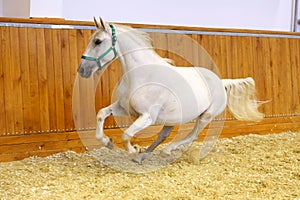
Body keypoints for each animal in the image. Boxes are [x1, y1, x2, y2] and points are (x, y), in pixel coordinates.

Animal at [77, 18, 262, 163]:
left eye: (98, 41)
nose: (82, 70)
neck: (142, 75)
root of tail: (221, 82)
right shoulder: (124, 108)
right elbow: (101, 114)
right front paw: (108, 142)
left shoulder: (147, 117)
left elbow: (126, 135)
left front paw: (133, 150)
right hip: (172, 120)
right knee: (163, 136)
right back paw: (143, 157)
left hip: (206, 116)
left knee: (192, 136)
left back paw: (165, 151)